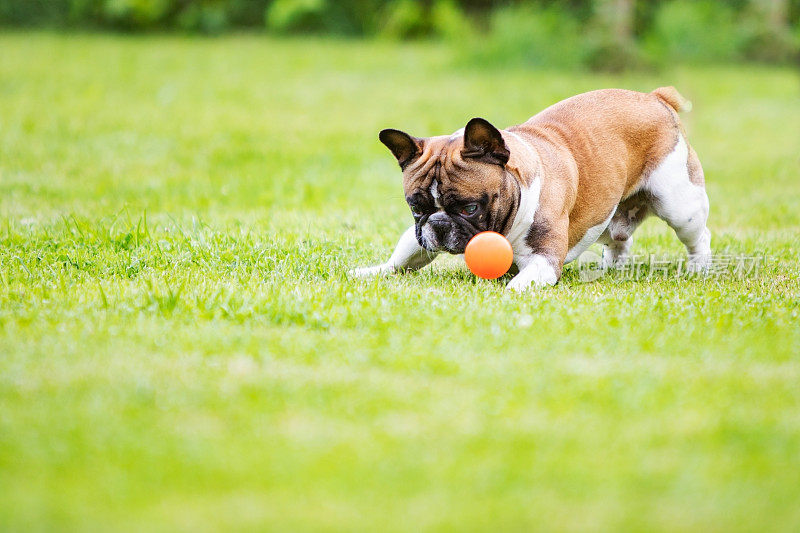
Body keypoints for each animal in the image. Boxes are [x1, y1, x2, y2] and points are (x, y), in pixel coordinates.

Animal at [350, 85, 712, 290]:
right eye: (417, 208)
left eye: (470, 208)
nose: (438, 225)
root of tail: (654, 98)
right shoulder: (418, 235)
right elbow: (404, 256)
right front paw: (373, 271)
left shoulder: (543, 258)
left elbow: (523, 281)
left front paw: (511, 291)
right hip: (606, 215)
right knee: (620, 239)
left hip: (678, 203)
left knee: (698, 235)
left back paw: (698, 268)